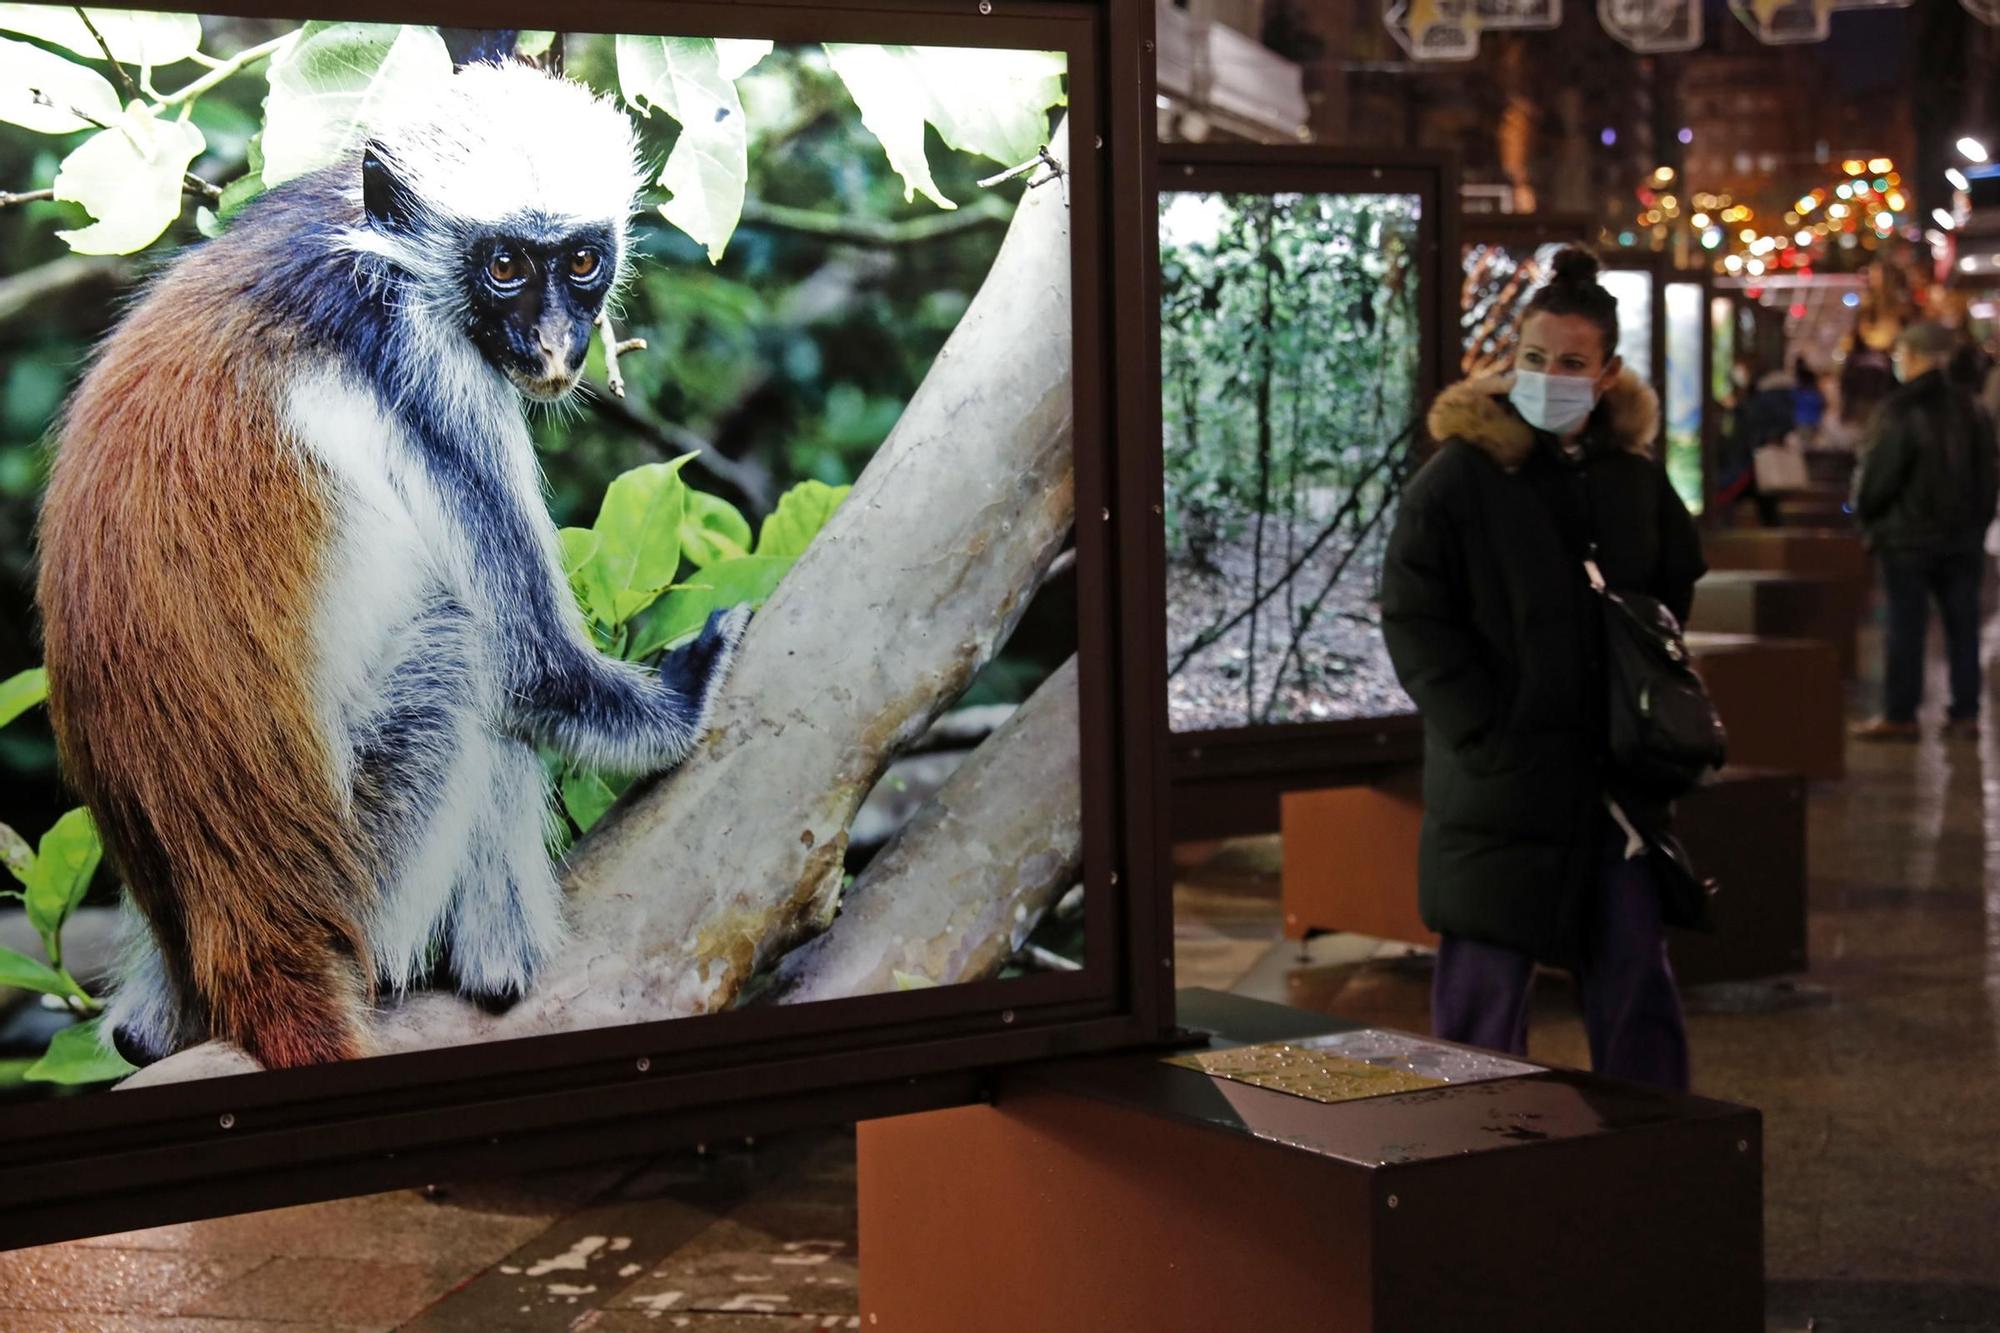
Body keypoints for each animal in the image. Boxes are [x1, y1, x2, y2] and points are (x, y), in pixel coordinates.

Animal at [39, 62, 752, 1072]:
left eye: (581, 262)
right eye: (504, 268)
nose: (553, 344)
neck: (372, 252)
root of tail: (257, 938)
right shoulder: (426, 367)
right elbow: (535, 670)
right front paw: (685, 695)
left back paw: (149, 1027)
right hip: (369, 876)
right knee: (467, 650)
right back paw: (497, 964)